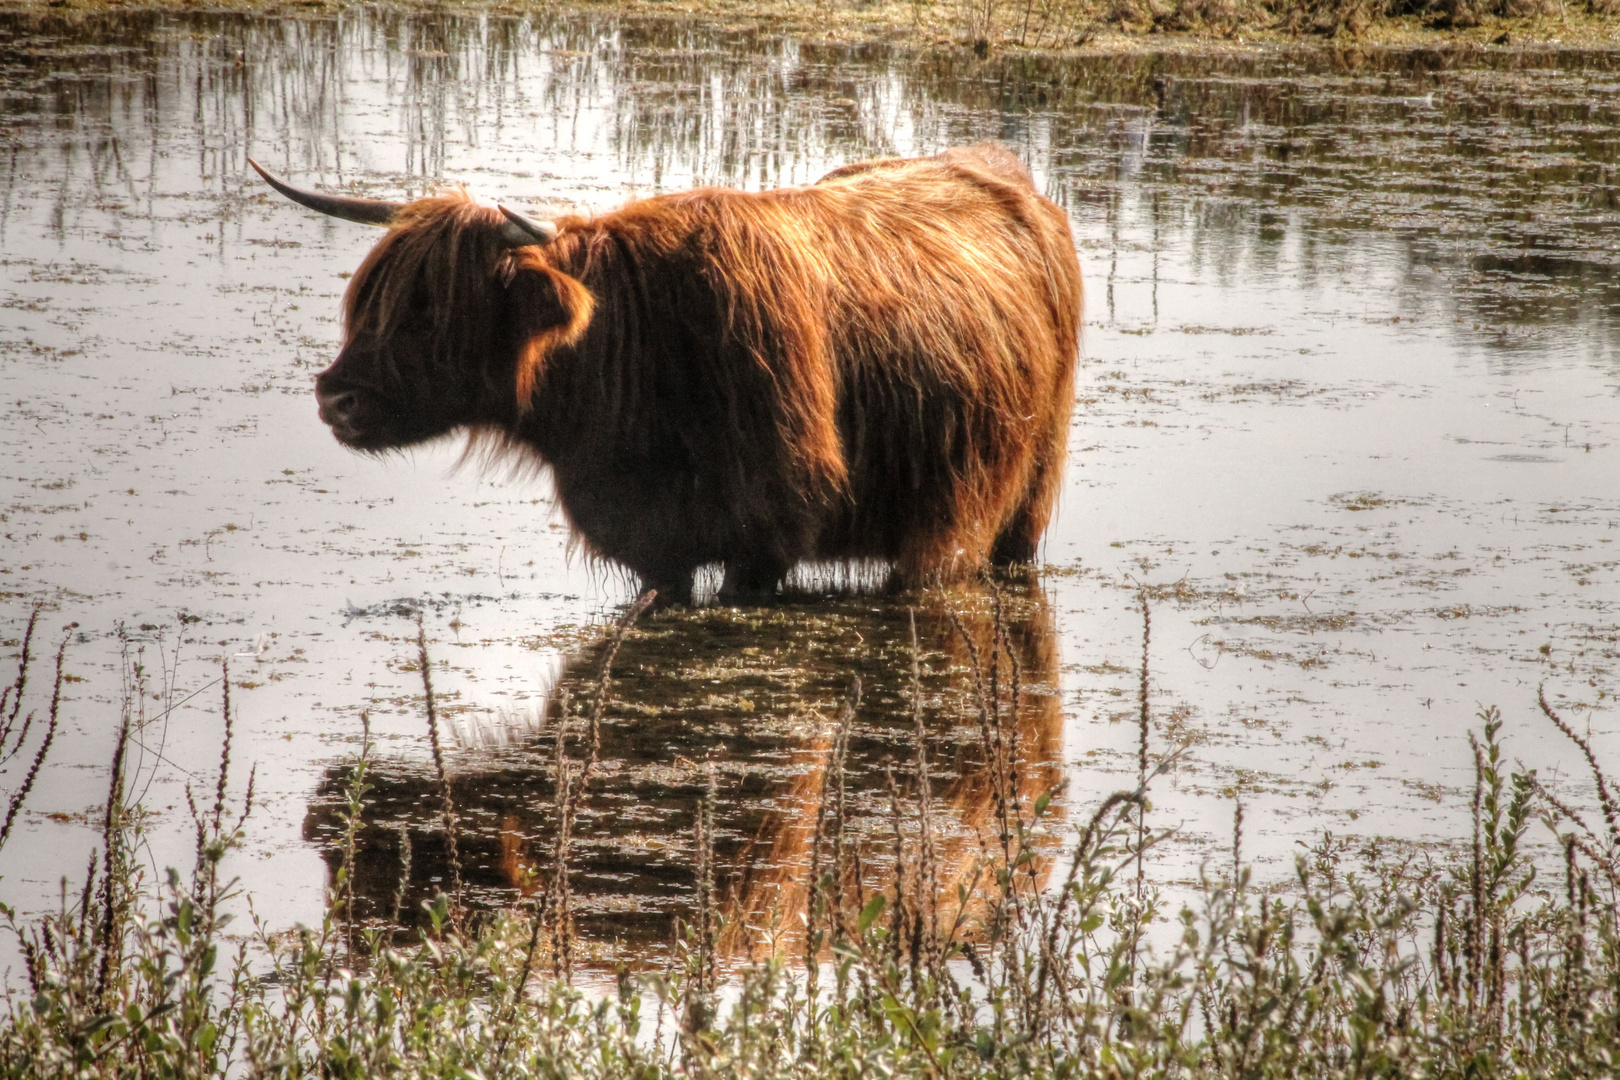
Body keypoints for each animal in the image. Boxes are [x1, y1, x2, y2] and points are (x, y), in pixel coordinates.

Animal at [252, 144, 1082, 605]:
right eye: (366, 301)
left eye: (436, 310)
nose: (337, 398)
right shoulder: (652, 548)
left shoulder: (768, 537)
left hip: (999, 519)